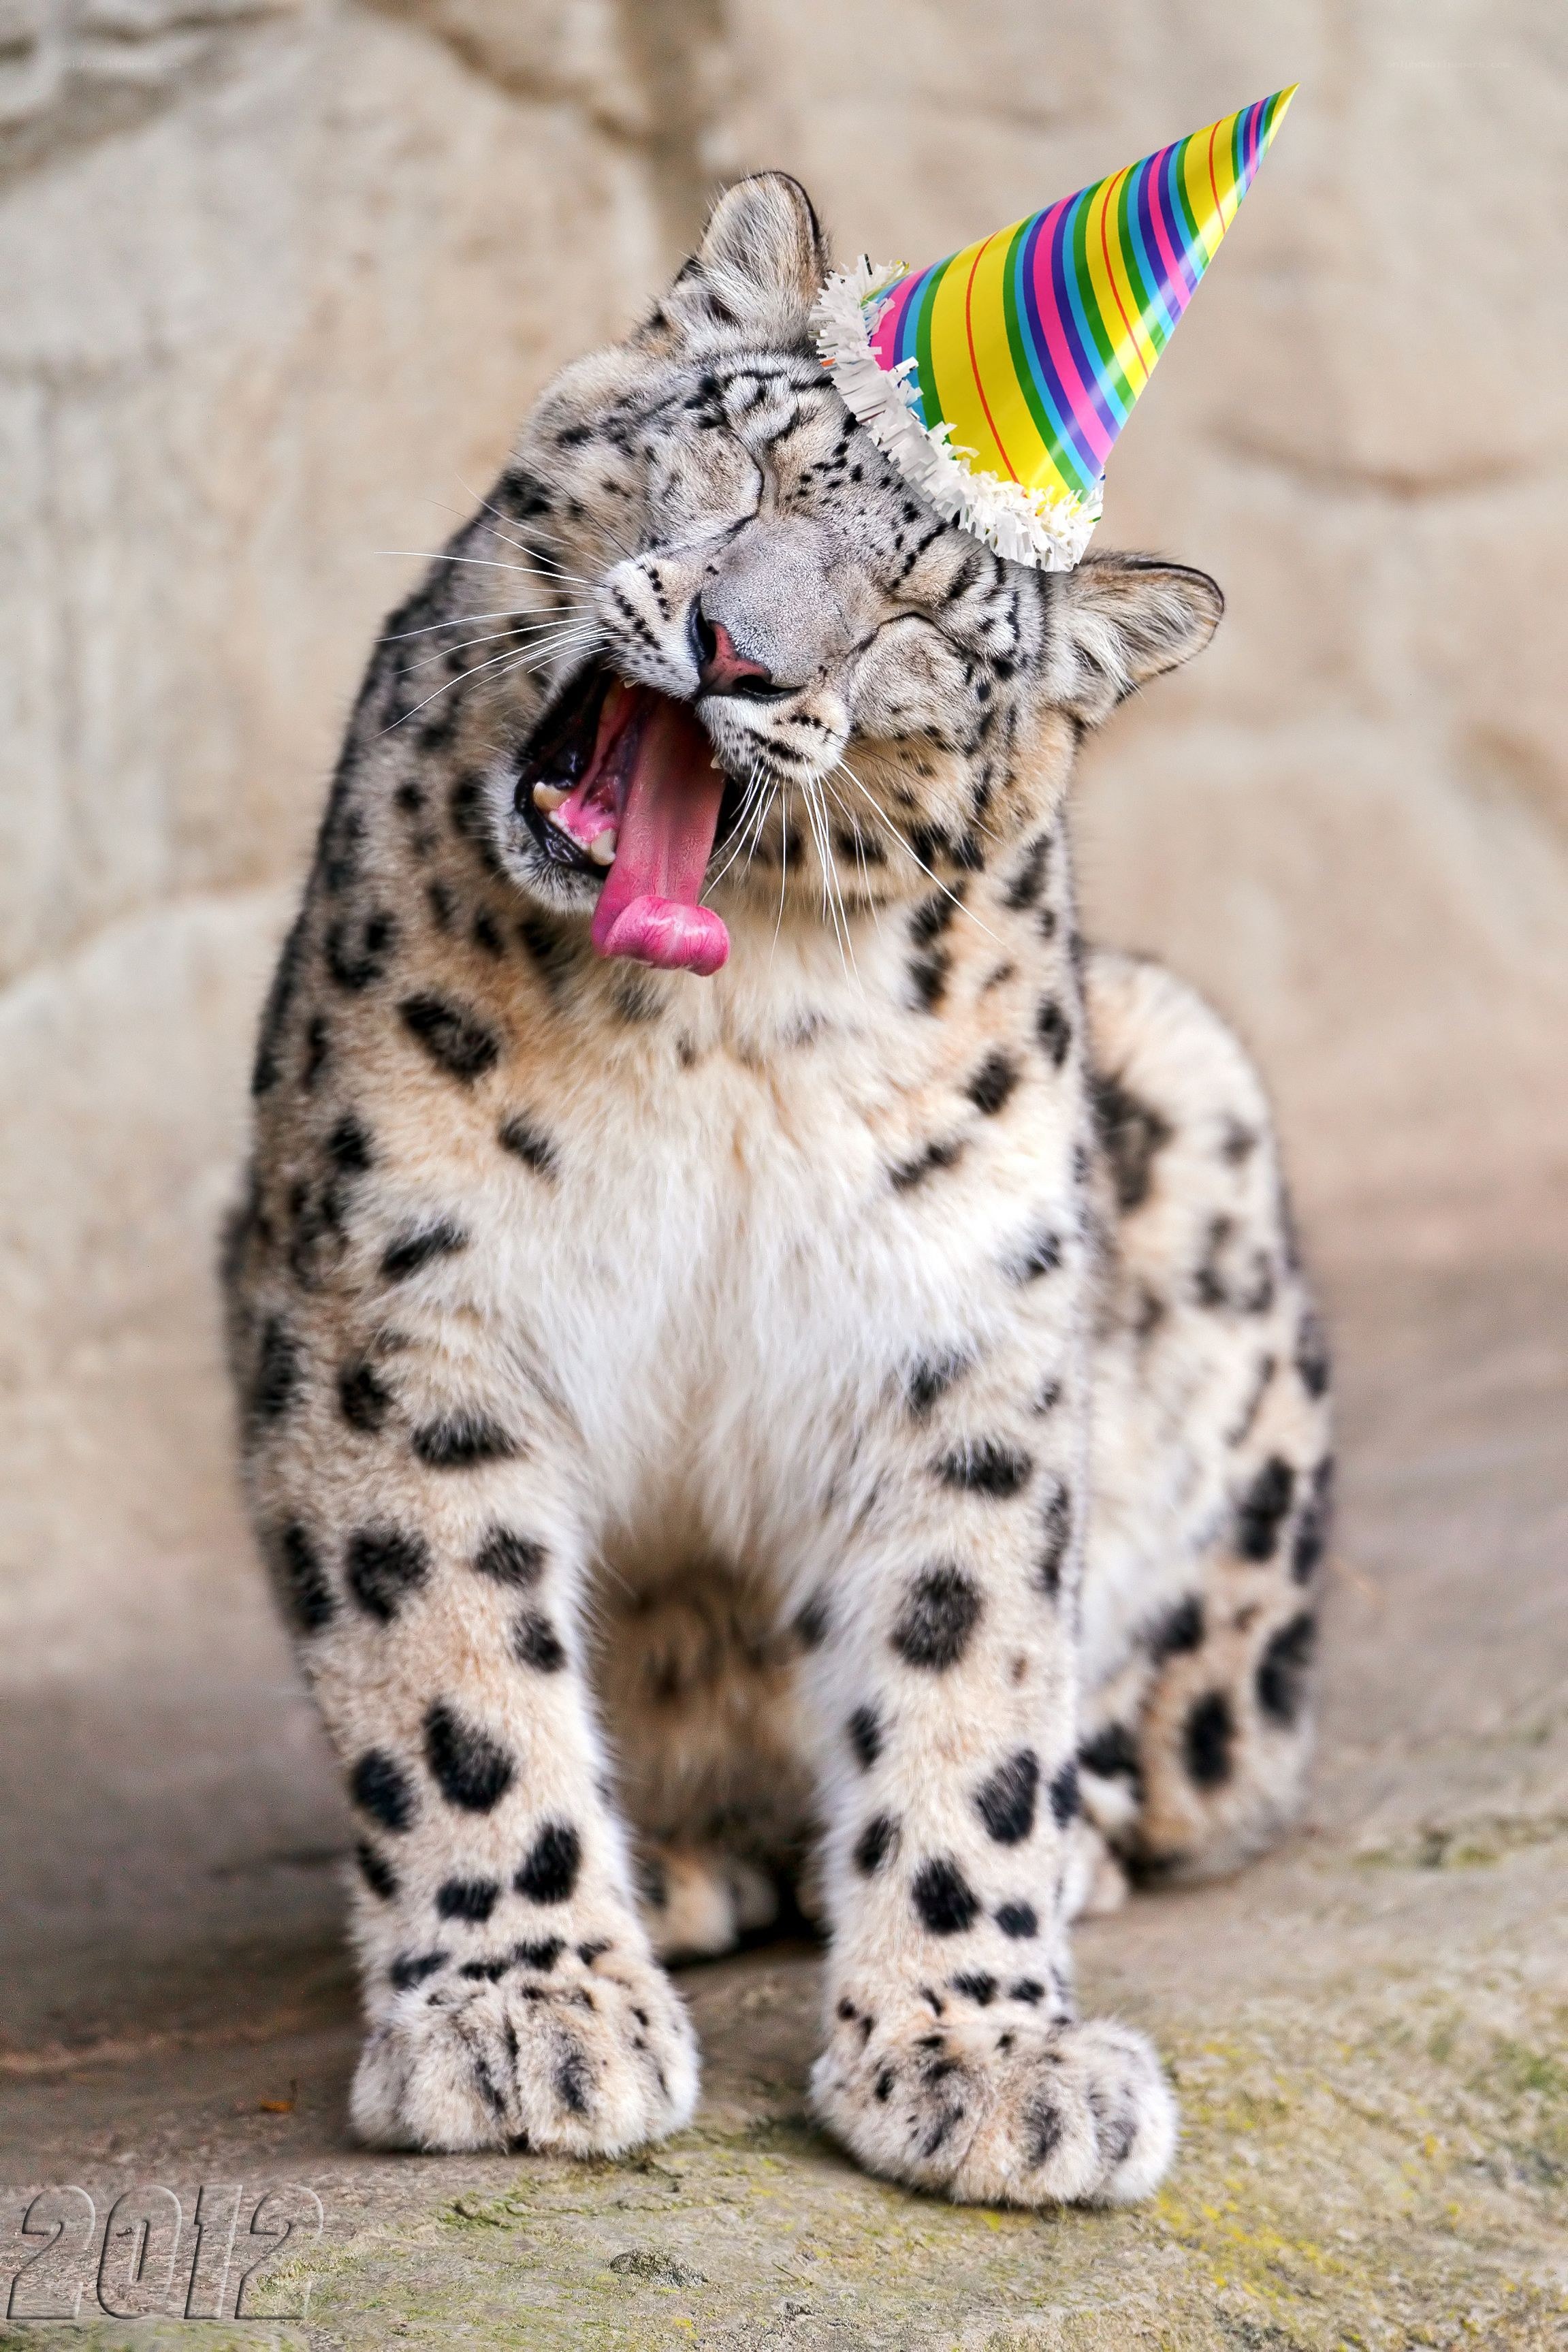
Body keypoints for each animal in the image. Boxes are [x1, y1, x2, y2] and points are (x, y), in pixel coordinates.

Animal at [223, 171, 1332, 2209]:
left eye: (915, 621)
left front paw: (987, 2048)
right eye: (744, 465)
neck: (713, 1033)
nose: (742, 650)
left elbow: (967, 1671)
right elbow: (449, 1659)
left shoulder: (954, 1320)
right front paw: (524, 2007)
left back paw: (1064, 1833)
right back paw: (669, 1865)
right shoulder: (406, 1298)